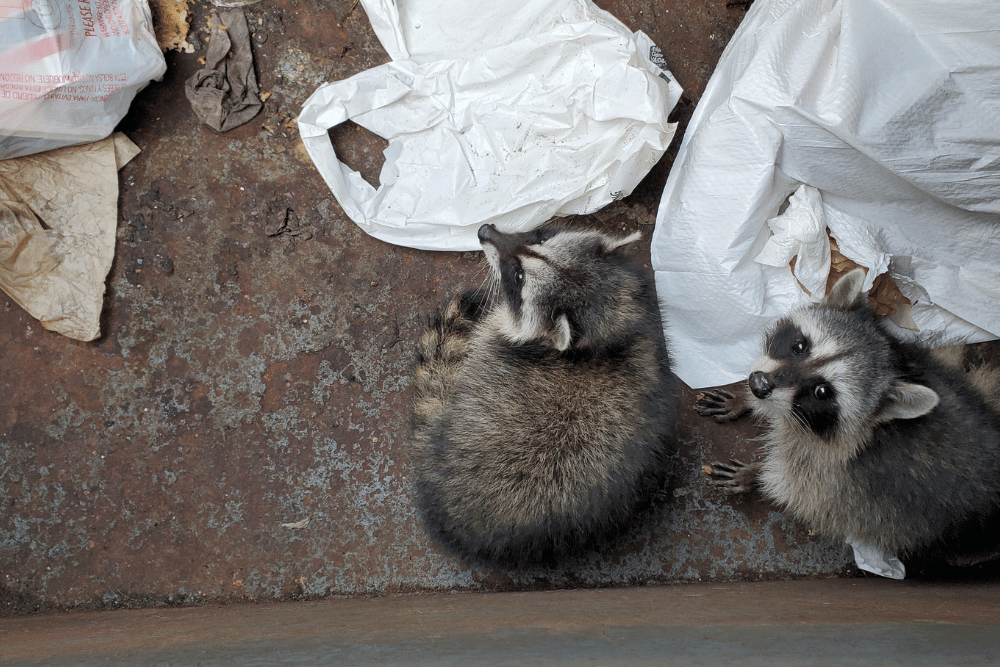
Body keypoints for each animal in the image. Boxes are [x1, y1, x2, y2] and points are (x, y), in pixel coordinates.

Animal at [410, 222, 677, 565]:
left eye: (518, 277)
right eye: (540, 237)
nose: (484, 229)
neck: (604, 337)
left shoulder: (494, 344)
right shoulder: (651, 335)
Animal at [697, 268, 1000, 562]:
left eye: (822, 392)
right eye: (799, 346)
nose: (758, 385)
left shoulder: (837, 468)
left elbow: (796, 487)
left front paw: (755, 475)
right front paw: (744, 398)